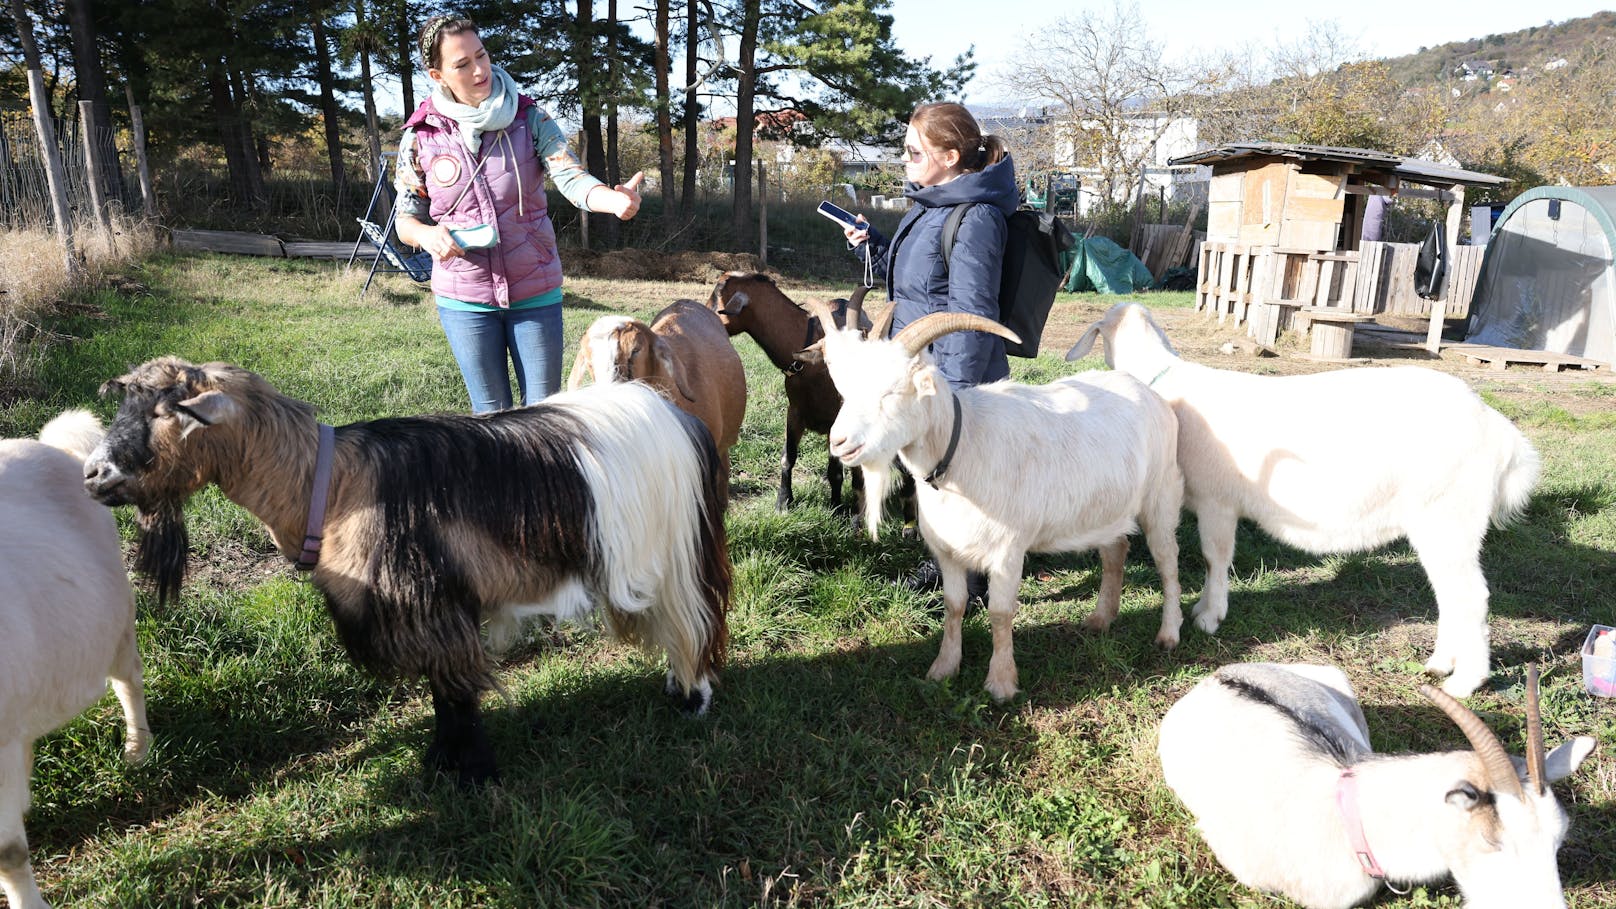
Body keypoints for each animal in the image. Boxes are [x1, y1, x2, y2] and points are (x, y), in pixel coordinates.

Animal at [82, 357, 727, 782]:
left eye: (166, 412)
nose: (93, 474)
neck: (331, 488)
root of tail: (679, 420)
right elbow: (443, 695)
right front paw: (444, 762)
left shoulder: (433, 609)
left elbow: (455, 694)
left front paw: (465, 771)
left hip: (676, 553)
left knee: (691, 622)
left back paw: (692, 698)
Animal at [798, 300, 1189, 695]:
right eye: (845, 388)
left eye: (892, 391)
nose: (839, 443)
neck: (962, 445)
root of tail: (1149, 393)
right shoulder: (948, 551)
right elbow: (954, 605)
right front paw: (943, 668)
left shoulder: (1007, 550)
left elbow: (1001, 613)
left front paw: (1001, 682)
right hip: (1107, 509)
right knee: (1115, 552)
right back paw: (1101, 618)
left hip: (1160, 498)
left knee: (1168, 563)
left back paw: (1169, 634)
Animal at [1066, 304, 1544, 692]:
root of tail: (1502, 434)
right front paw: (1203, 606)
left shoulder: (1218, 500)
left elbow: (1214, 558)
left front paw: (1209, 616)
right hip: (1436, 524)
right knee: (1449, 594)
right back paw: (1441, 663)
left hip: (1451, 516)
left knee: (1471, 596)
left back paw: (1465, 682)